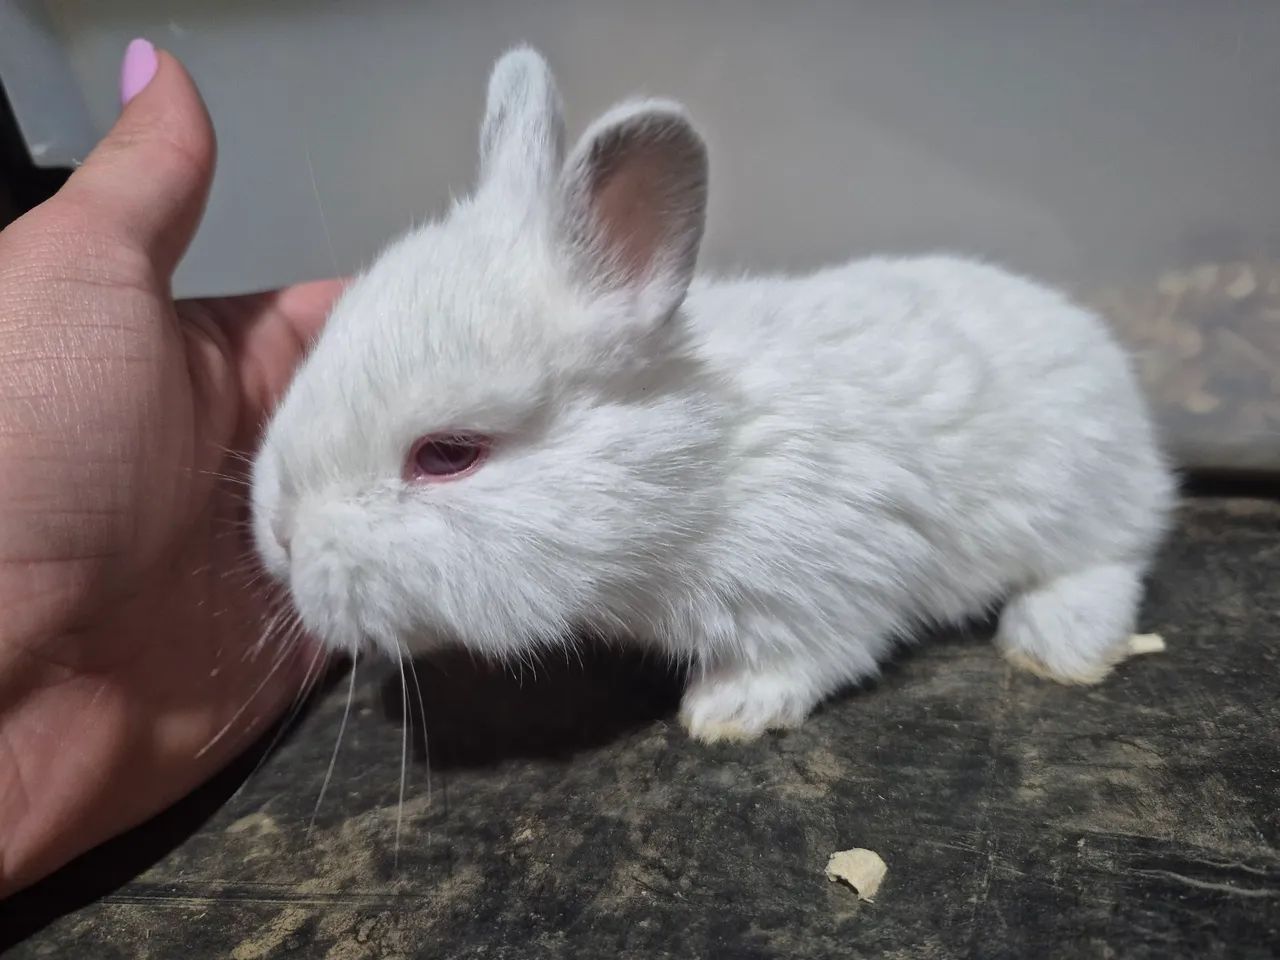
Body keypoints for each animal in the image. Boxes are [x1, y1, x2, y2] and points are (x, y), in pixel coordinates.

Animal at [251, 46, 1175, 743]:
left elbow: (816, 654)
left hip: (1077, 498)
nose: (284, 542)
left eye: (448, 454)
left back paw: (1056, 644)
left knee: (1115, 556)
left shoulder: (827, 588)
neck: (701, 464)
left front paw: (723, 712)